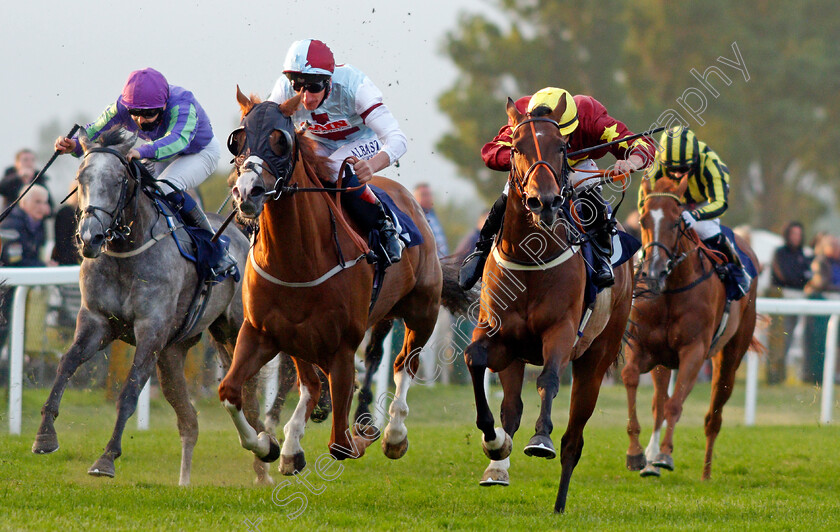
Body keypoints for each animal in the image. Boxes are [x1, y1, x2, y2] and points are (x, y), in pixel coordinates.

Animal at [30, 130, 270, 486]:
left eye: (118, 181)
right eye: (81, 177)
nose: (89, 238)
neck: (125, 252)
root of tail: (240, 233)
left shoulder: (151, 330)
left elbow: (130, 390)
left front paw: (106, 458)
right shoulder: (97, 321)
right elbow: (66, 364)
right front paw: (45, 435)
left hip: (234, 331)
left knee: (250, 398)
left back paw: (265, 457)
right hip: (174, 351)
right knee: (189, 418)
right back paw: (186, 481)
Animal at [217, 92, 466, 474]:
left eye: (280, 140)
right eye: (238, 140)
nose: (247, 191)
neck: (299, 261)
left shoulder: (343, 347)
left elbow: (341, 445)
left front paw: (366, 432)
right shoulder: (261, 332)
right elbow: (230, 392)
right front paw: (267, 445)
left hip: (421, 311)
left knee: (403, 364)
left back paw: (393, 433)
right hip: (303, 338)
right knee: (312, 383)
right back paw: (292, 444)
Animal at [462, 97, 632, 512]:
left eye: (562, 147)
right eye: (516, 147)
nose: (546, 201)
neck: (531, 258)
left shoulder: (562, 332)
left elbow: (550, 380)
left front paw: (540, 440)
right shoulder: (499, 337)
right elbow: (474, 361)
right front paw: (493, 444)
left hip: (596, 358)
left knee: (574, 438)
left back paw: (559, 503)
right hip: (516, 356)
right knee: (511, 409)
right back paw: (498, 467)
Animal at [624, 174, 760, 478]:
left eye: (677, 222)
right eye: (642, 220)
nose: (653, 272)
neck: (670, 290)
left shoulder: (694, 351)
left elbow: (676, 404)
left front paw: (665, 455)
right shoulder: (642, 347)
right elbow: (632, 380)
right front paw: (637, 453)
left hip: (730, 357)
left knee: (713, 416)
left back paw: (705, 473)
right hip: (664, 362)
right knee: (659, 404)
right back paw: (650, 460)